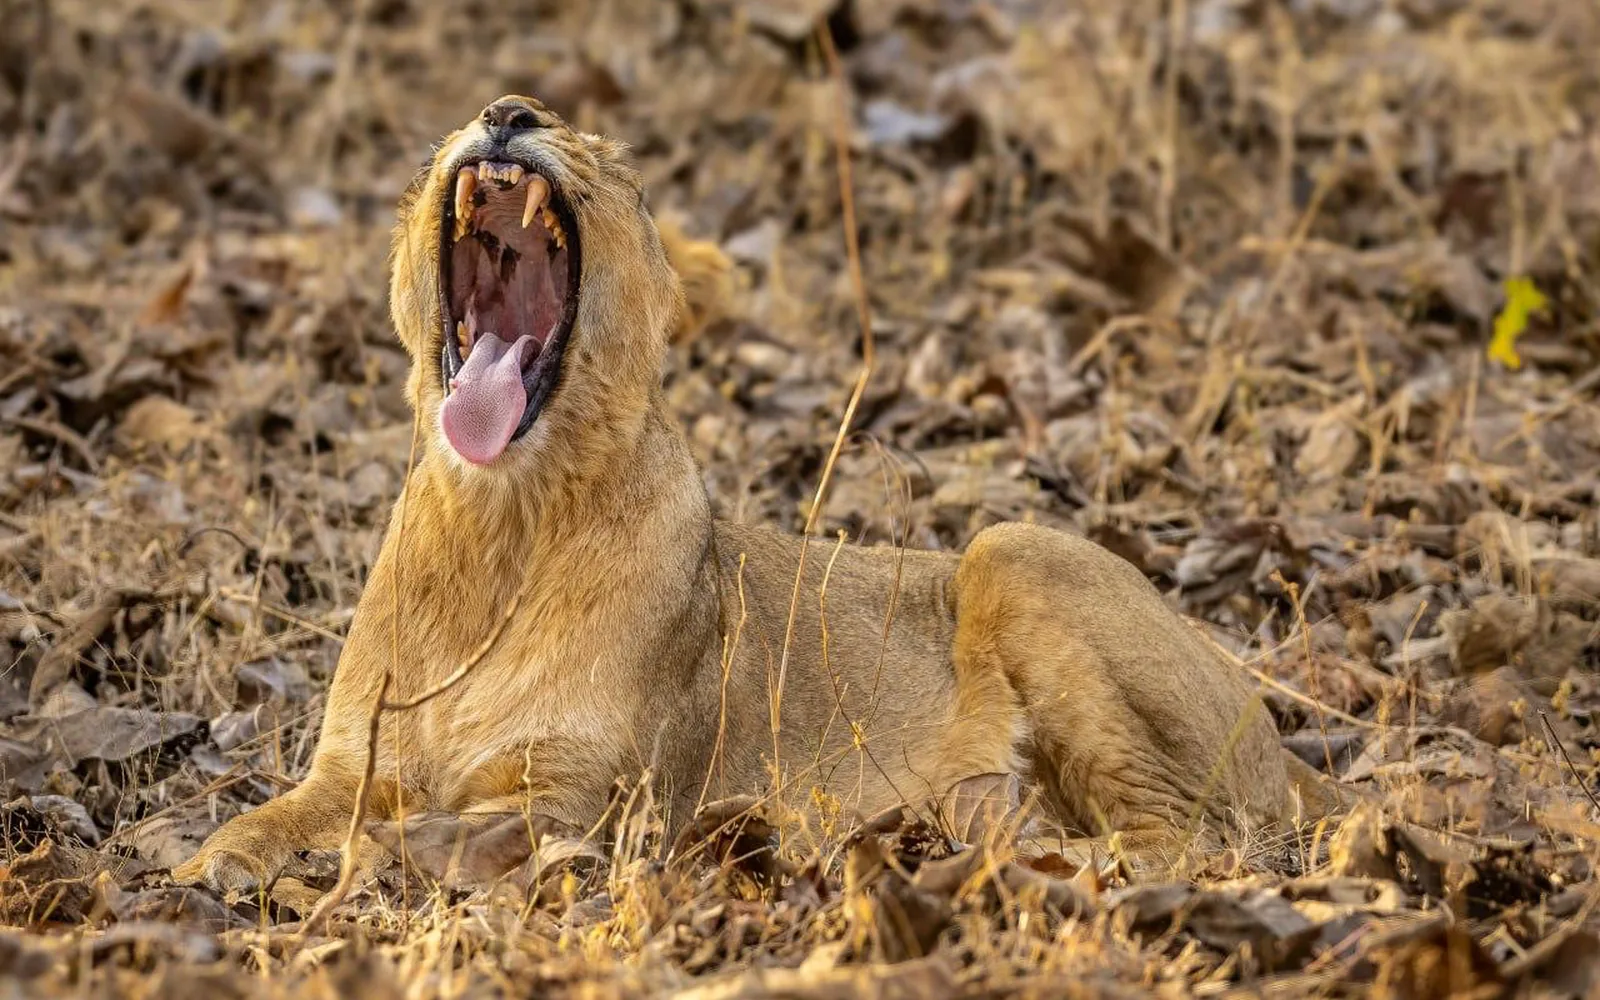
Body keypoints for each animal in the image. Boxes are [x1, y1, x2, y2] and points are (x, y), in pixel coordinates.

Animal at [174, 96, 1322, 892]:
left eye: (614, 165)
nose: (507, 112)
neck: (500, 521)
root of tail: (1289, 749)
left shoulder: (591, 802)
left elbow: (436, 832)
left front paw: (358, 864)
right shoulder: (351, 764)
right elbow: (275, 816)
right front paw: (202, 864)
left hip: (1015, 548)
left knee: (1187, 840)